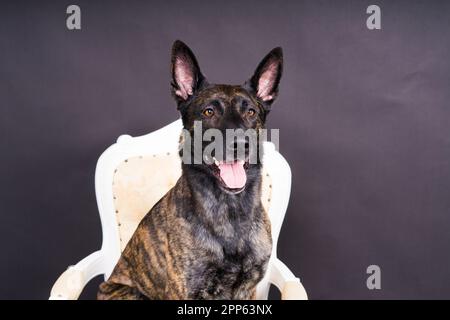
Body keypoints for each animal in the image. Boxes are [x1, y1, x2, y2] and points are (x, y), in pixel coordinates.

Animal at [97, 40, 284, 300]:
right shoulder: (184, 291)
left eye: (251, 112)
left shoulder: (248, 290)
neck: (230, 212)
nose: (240, 144)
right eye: (209, 111)